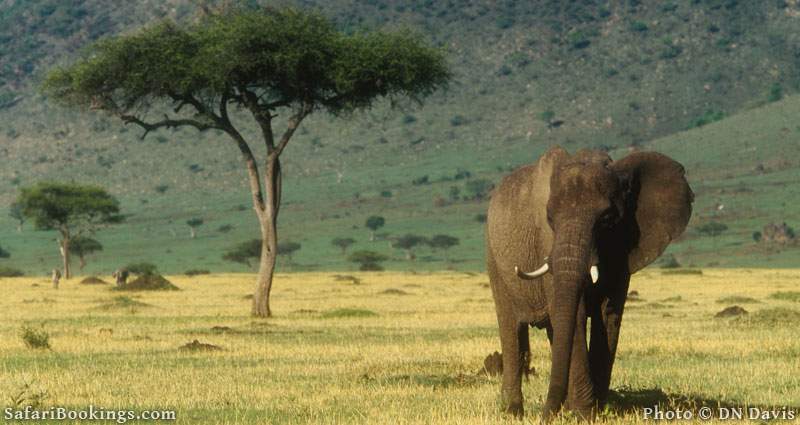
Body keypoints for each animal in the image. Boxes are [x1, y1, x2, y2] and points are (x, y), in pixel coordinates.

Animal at [484, 147, 692, 420]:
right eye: (549, 218)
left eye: (607, 218)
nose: (545, 416)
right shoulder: (546, 243)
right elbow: (577, 314)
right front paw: (584, 413)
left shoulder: (622, 251)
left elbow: (608, 315)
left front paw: (594, 411)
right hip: (494, 259)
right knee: (512, 331)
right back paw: (512, 412)